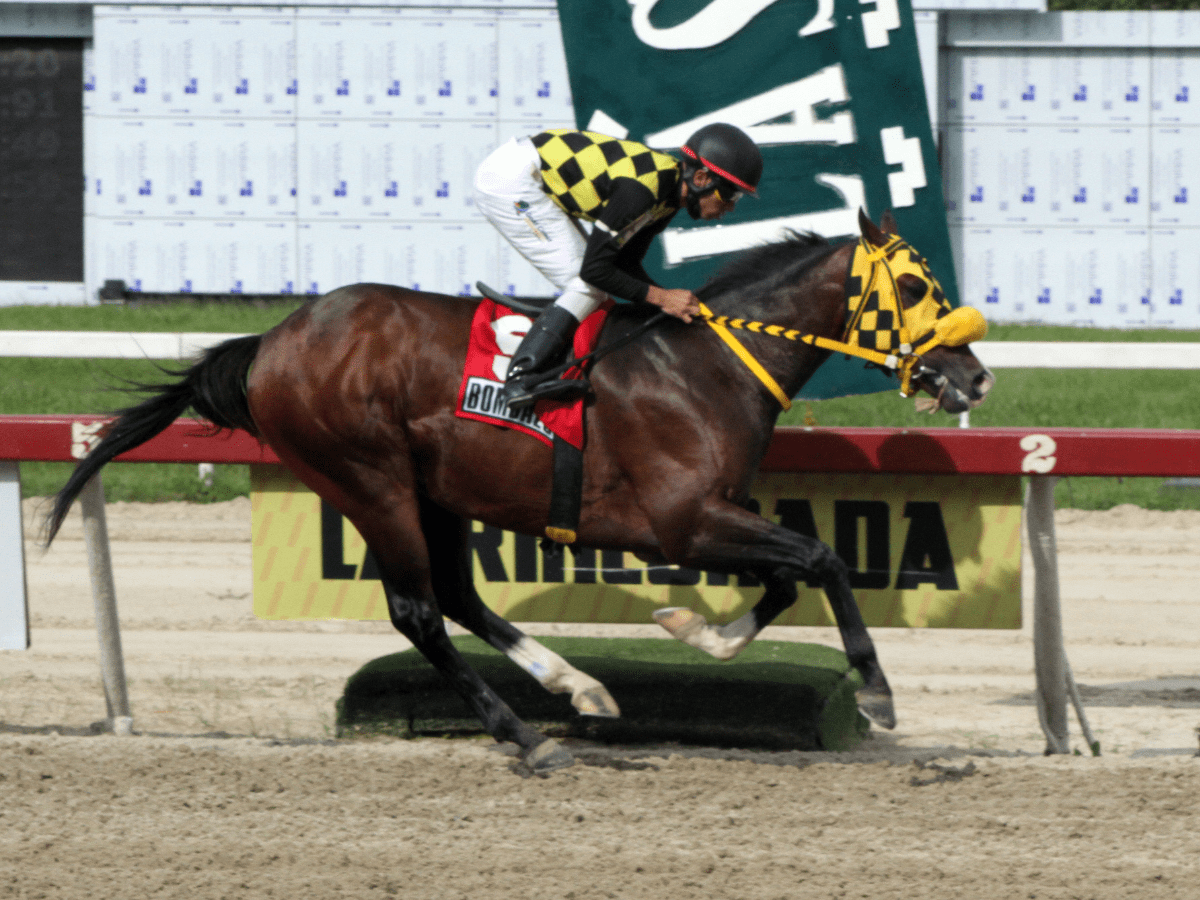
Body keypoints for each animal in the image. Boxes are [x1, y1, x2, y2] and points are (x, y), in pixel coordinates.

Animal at [44, 207, 993, 772]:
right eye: (915, 285)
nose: (975, 376)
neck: (707, 364)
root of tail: (273, 340)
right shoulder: (682, 522)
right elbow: (821, 559)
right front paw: (875, 689)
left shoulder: (715, 513)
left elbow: (789, 576)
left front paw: (694, 630)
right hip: (368, 479)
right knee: (418, 612)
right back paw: (529, 734)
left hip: (435, 492)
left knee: (457, 596)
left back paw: (577, 688)